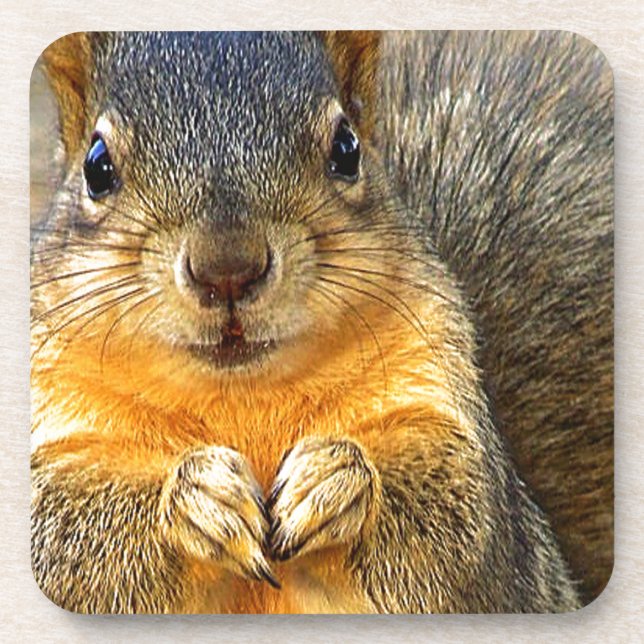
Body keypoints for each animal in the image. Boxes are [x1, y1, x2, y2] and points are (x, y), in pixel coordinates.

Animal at [30, 31, 613, 613]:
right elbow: (59, 538)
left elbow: (463, 513)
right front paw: (197, 497)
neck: (241, 397)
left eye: (346, 149)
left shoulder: (446, 412)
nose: (227, 269)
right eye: (97, 166)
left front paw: (337, 479)